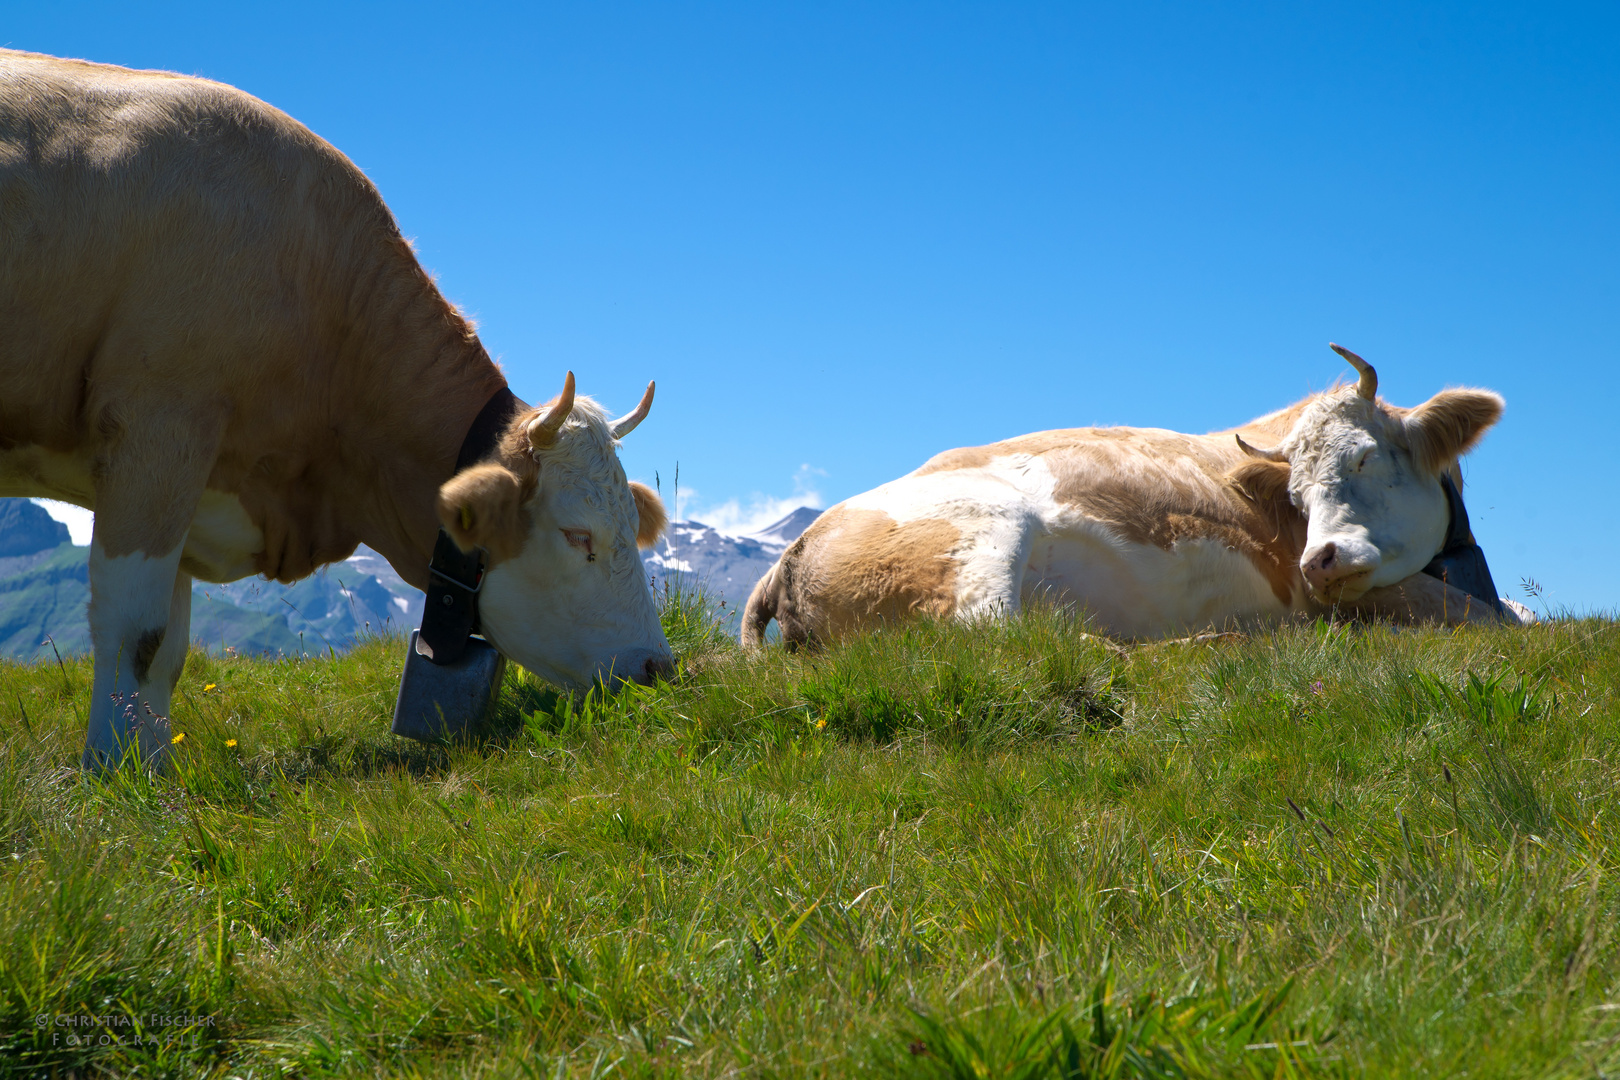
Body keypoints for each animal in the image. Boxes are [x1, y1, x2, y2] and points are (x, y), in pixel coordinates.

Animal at [0, 52, 670, 767]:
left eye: (633, 524)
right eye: (578, 536)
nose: (659, 666)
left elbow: (170, 651)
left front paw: (152, 766)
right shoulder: (157, 424)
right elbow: (139, 631)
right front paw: (119, 770)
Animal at [741, 348, 1522, 650]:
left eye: (1364, 456)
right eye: (1298, 495)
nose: (1320, 560)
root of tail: (789, 555)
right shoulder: (1361, 595)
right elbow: (1485, 616)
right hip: (982, 536)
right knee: (999, 638)